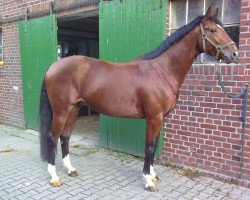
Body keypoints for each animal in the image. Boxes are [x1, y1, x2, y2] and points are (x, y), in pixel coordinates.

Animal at [39, 7, 238, 192]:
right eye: (213, 30)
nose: (234, 54)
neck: (162, 70)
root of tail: (53, 66)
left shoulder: (160, 118)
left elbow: (154, 145)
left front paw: (153, 175)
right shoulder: (154, 117)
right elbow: (149, 147)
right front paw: (148, 181)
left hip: (74, 108)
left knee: (65, 137)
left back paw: (70, 169)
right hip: (61, 111)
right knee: (52, 138)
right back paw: (54, 177)